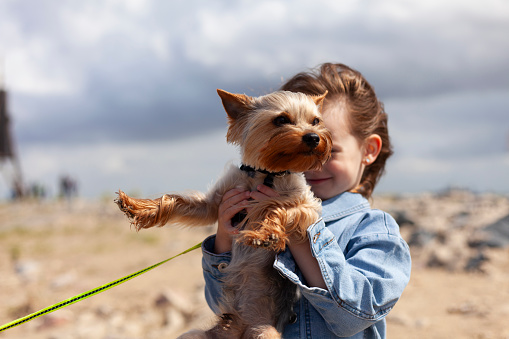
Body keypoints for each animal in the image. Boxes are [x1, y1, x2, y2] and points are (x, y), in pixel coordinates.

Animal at [113, 89, 332, 338]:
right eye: (281, 120)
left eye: (316, 121)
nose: (313, 137)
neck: (265, 174)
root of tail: (241, 327)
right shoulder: (213, 204)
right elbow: (175, 200)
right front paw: (139, 207)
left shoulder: (308, 208)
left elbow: (277, 207)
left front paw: (265, 234)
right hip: (195, 335)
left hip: (266, 332)